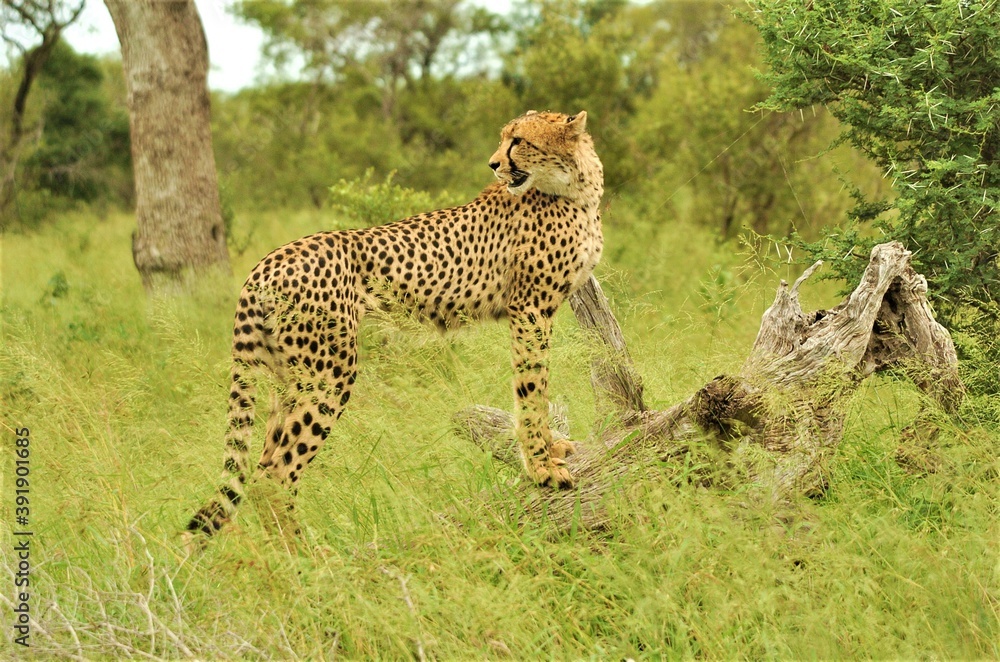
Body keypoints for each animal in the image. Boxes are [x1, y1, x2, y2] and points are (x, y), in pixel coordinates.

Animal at [186, 110, 604, 541]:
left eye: (518, 140)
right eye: (506, 138)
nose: (493, 164)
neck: (577, 187)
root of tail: (268, 260)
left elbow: (537, 389)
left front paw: (550, 451)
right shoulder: (529, 309)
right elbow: (531, 390)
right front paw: (541, 469)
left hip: (285, 375)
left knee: (260, 470)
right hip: (329, 373)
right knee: (276, 474)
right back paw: (312, 553)